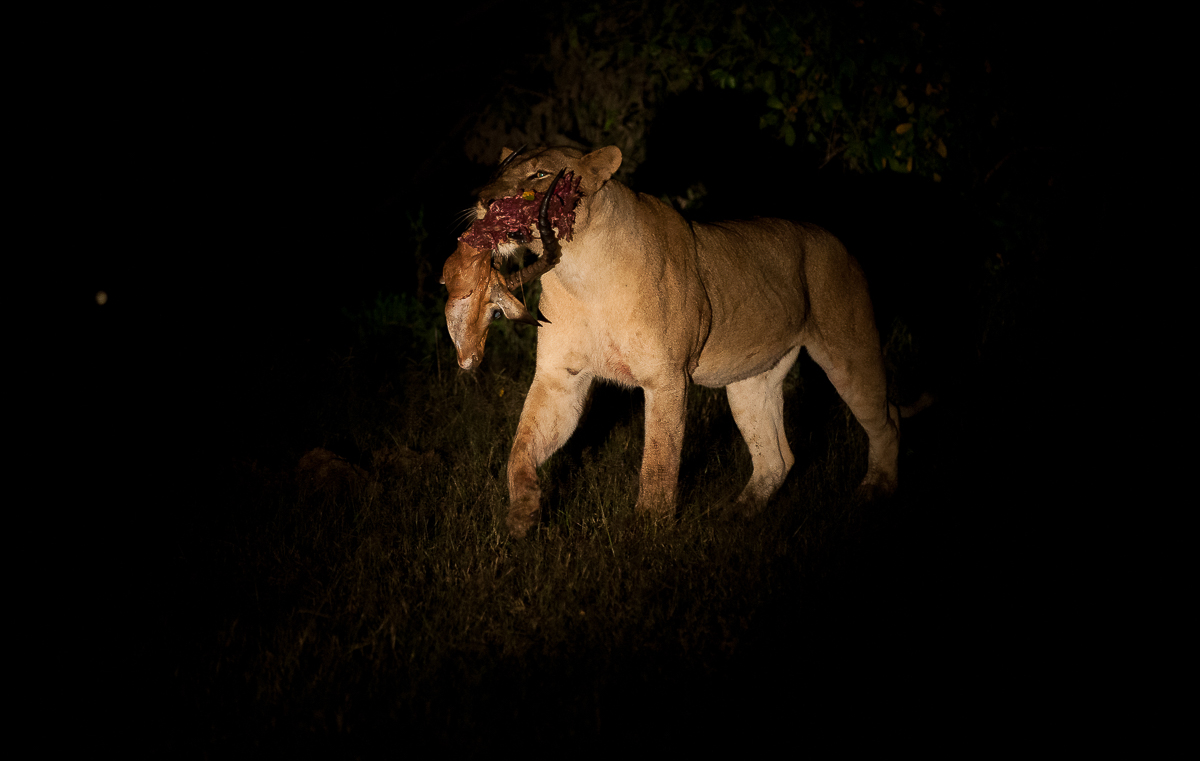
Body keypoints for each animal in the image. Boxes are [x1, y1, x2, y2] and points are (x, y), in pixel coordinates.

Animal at [444, 145, 900, 538]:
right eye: (499, 171)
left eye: (539, 175)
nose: (483, 202)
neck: (580, 272)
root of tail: (836, 241)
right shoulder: (561, 377)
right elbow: (521, 446)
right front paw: (523, 514)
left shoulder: (666, 380)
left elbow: (659, 460)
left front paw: (646, 531)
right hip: (750, 381)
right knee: (777, 458)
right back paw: (735, 514)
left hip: (848, 354)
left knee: (887, 421)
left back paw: (874, 492)